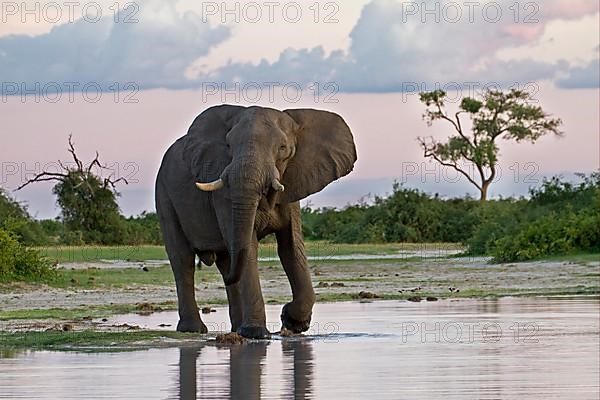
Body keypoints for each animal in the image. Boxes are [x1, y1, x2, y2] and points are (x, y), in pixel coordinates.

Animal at [157, 103, 358, 338]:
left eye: (283, 148)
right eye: (228, 145)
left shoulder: (291, 185)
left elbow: (291, 248)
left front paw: (292, 323)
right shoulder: (223, 193)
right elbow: (250, 247)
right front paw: (256, 333)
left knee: (226, 262)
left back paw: (235, 328)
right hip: (164, 196)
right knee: (183, 260)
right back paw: (194, 330)